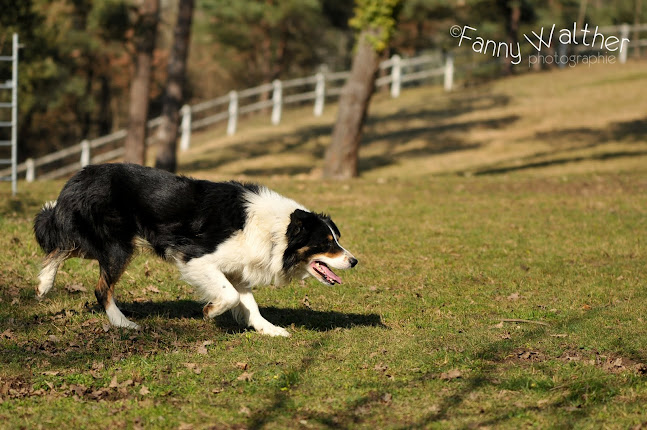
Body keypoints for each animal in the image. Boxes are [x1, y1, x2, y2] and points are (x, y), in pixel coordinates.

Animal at [33, 164, 356, 336]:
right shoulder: (196, 258)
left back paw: (44, 284)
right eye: (327, 243)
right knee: (101, 286)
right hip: (117, 246)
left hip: (103, 240)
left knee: (61, 244)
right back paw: (123, 322)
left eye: (336, 239)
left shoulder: (238, 268)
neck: (278, 231)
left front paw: (268, 329)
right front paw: (210, 311)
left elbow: (248, 302)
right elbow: (228, 295)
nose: (354, 261)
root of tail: (79, 176)